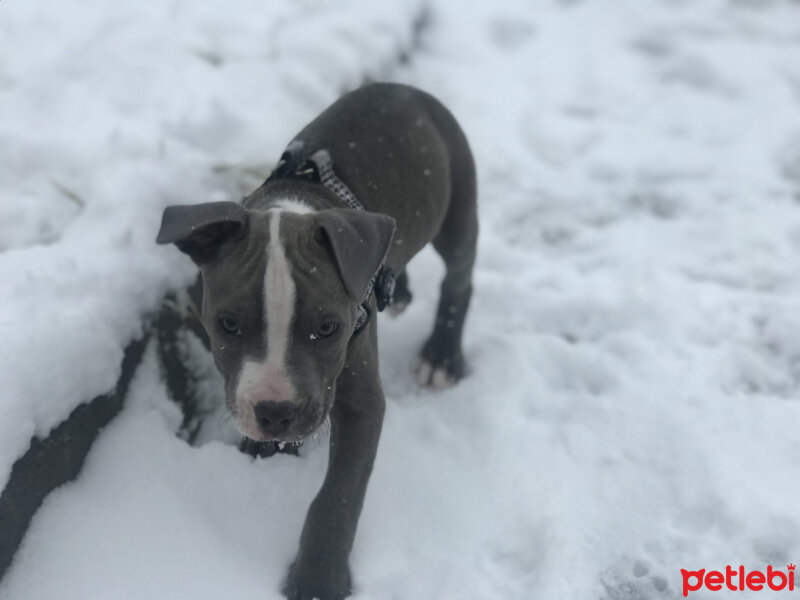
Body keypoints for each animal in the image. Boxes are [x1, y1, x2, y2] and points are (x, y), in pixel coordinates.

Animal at [159, 84, 478, 600]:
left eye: (328, 328)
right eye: (227, 324)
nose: (275, 413)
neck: (294, 207)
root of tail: (400, 87)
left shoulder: (362, 402)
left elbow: (337, 497)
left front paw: (317, 579)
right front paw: (265, 451)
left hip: (458, 204)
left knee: (459, 279)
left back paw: (442, 357)